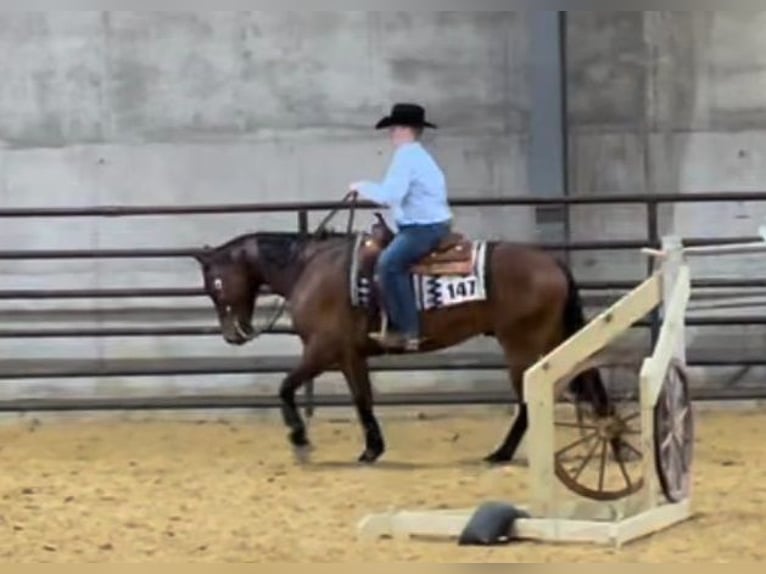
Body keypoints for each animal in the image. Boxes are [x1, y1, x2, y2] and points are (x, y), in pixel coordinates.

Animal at [194, 214, 612, 466]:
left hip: (521, 346)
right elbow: (362, 399)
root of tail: (553, 262)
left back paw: (501, 453)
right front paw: (371, 449)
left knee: (530, 399)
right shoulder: (351, 356)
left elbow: (285, 387)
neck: (310, 267)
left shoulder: (323, 349)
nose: (233, 334)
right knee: (587, 382)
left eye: (215, 284)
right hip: (558, 340)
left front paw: (300, 439)